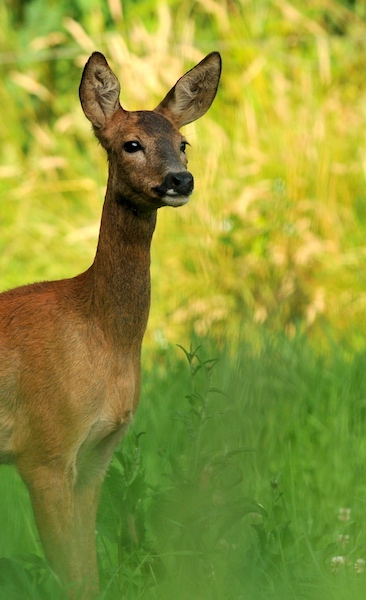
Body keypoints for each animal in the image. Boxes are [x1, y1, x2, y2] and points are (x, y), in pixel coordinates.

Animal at [0, 50, 222, 596]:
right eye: (131, 144)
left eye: (183, 143)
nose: (180, 180)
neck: (102, 336)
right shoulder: (44, 449)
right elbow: (72, 575)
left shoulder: (97, 453)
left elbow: (89, 569)